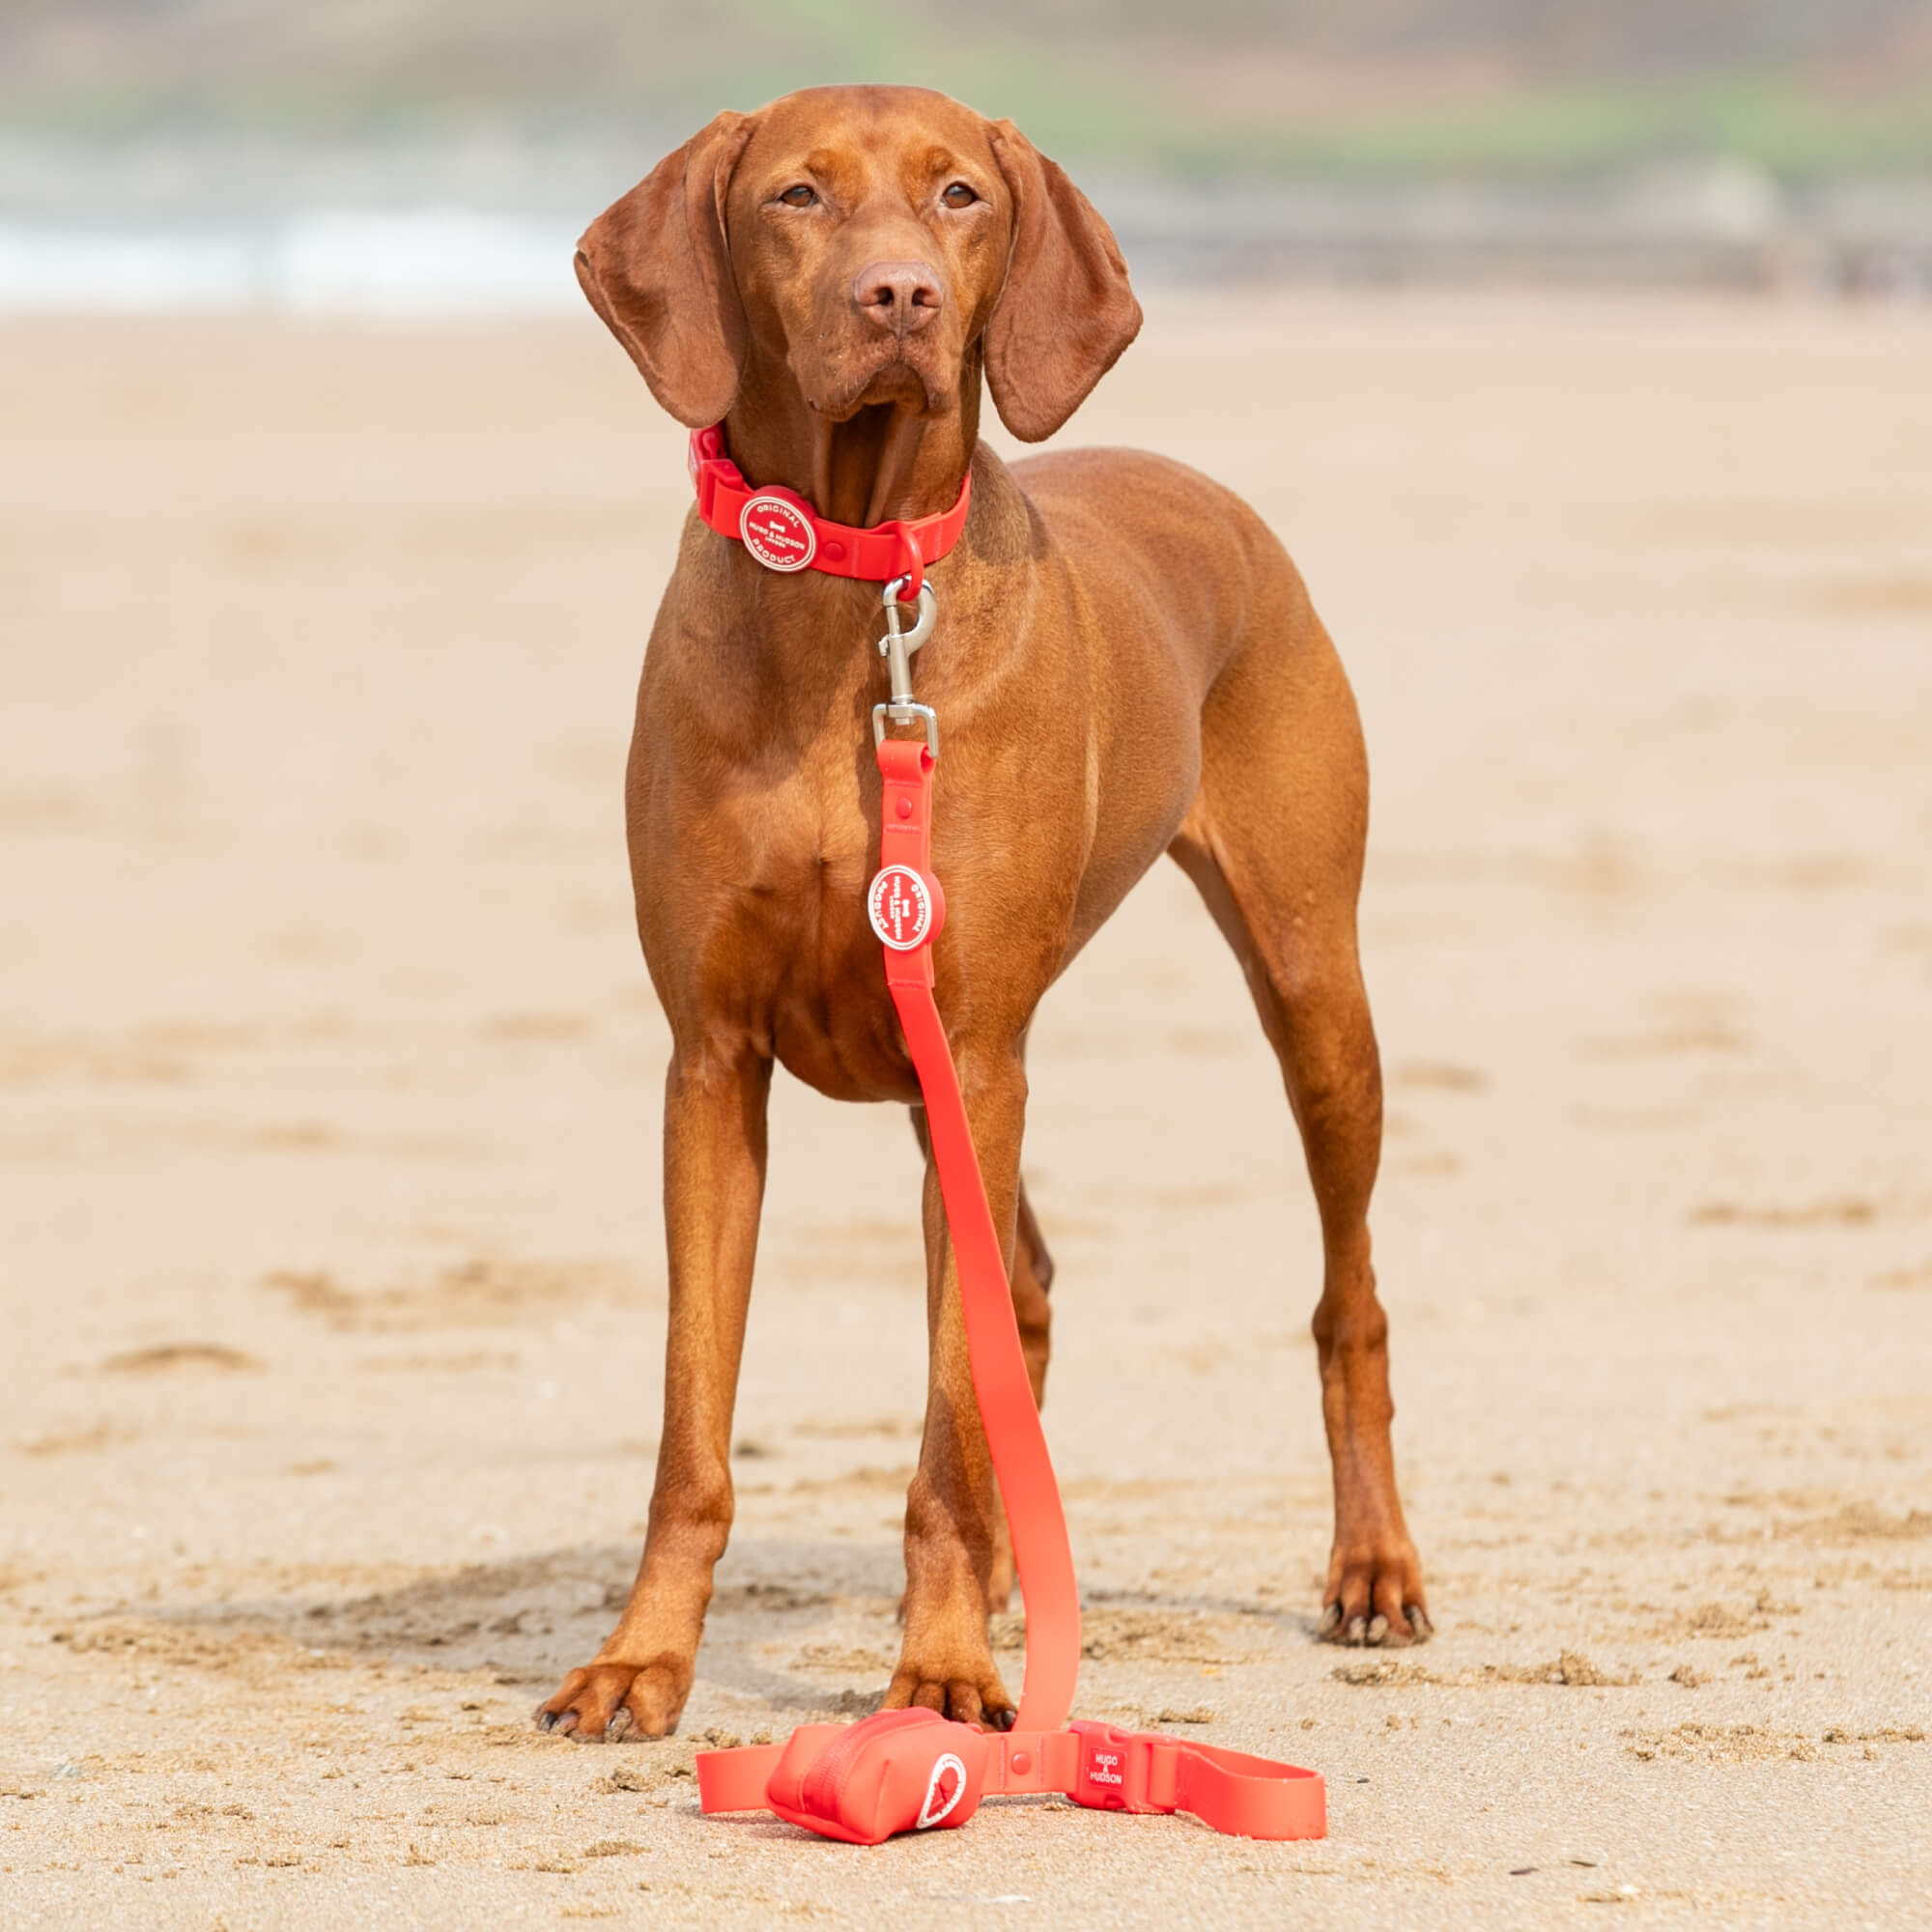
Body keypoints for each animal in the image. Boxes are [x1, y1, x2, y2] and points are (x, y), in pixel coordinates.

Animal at [537, 87, 1430, 1754]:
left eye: (960, 196)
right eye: (798, 197)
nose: (899, 298)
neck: (856, 594)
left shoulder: (971, 1044)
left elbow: (952, 1428)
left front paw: (943, 1678)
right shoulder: (714, 1063)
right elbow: (696, 1427)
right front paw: (642, 1660)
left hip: (1309, 995)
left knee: (1347, 1302)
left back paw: (1372, 1568)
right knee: (1026, 1286)